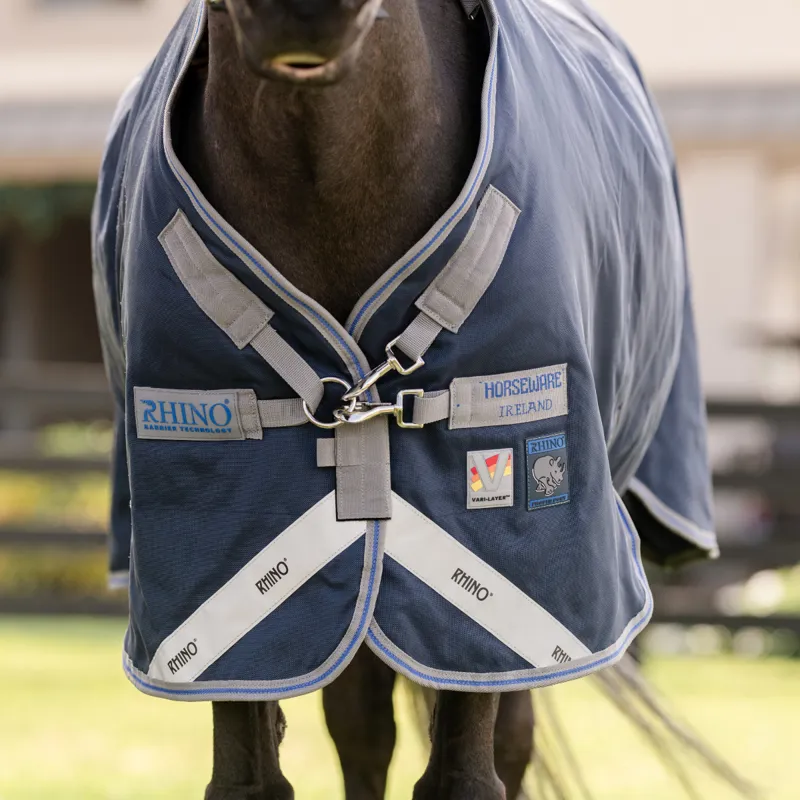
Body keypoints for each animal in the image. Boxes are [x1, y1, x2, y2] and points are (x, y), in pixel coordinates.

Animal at [90, 0, 738, 798]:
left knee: (504, 735)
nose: (300, 13)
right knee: (362, 725)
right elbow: (250, 775)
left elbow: (464, 775)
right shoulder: (208, 576)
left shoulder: (511, 564)